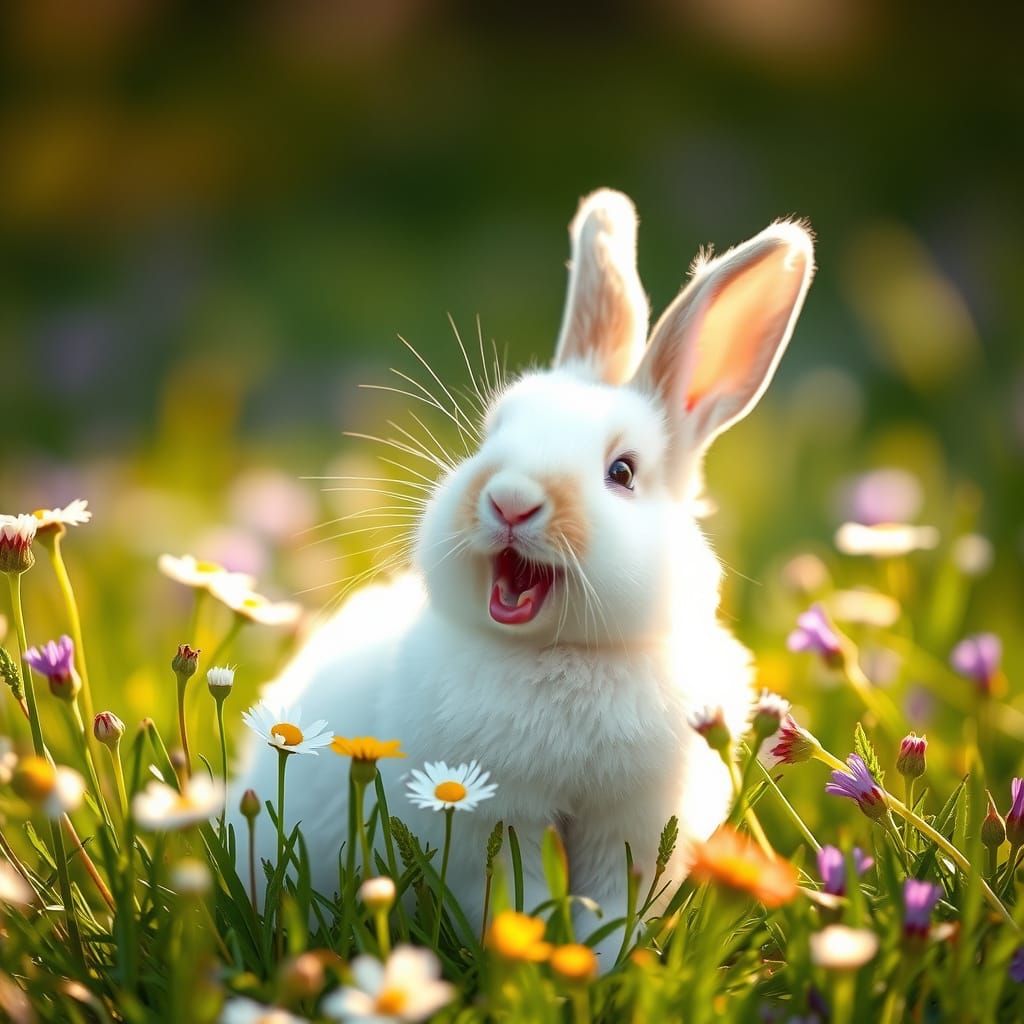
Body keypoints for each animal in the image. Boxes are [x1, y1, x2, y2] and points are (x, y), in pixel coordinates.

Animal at [229, 188, 815, 967]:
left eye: (622, 472)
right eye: (491, 437)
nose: (510, 500)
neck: (558, 654)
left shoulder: (630, 827)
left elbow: (615, 900)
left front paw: (596, 962)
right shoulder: (492, 819)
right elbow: (518, 894)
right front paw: (540, 952)